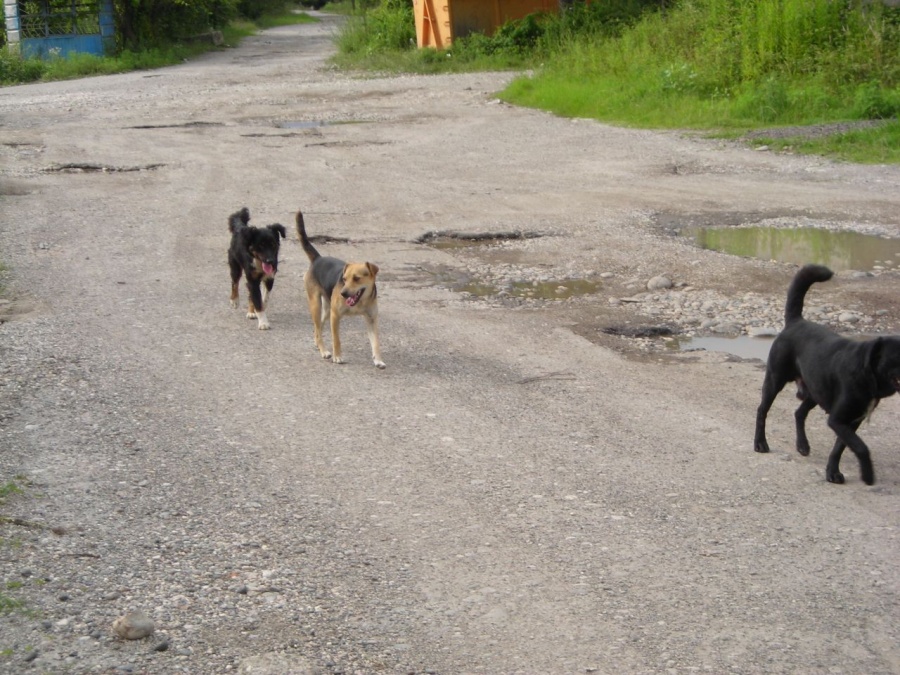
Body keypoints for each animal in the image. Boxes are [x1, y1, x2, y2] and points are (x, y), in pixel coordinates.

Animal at [294, 211, 382, 370]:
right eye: (344, 279)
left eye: (357, 278)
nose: (343, 293)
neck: (360, 302)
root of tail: (318, 259)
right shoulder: (335, 316)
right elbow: (336, 339)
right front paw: (337, 357)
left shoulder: (372, 319)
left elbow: (376, 343)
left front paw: (378, 360)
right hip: (316, 305)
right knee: (318, 329)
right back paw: (324, 351)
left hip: (326, 309)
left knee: (318, 328)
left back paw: (318, 344)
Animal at [752, 264, 900, 486]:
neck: (866, 372)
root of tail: (796, 321)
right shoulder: (838, 420)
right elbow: (861, 447)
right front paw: (867, 474)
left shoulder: (850, 422)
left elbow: (840, 447)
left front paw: (833, 472)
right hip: (774, 380)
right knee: (762, 410)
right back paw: (760, 443)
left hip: (814, 391)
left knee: (799, 413)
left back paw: (802, 445)